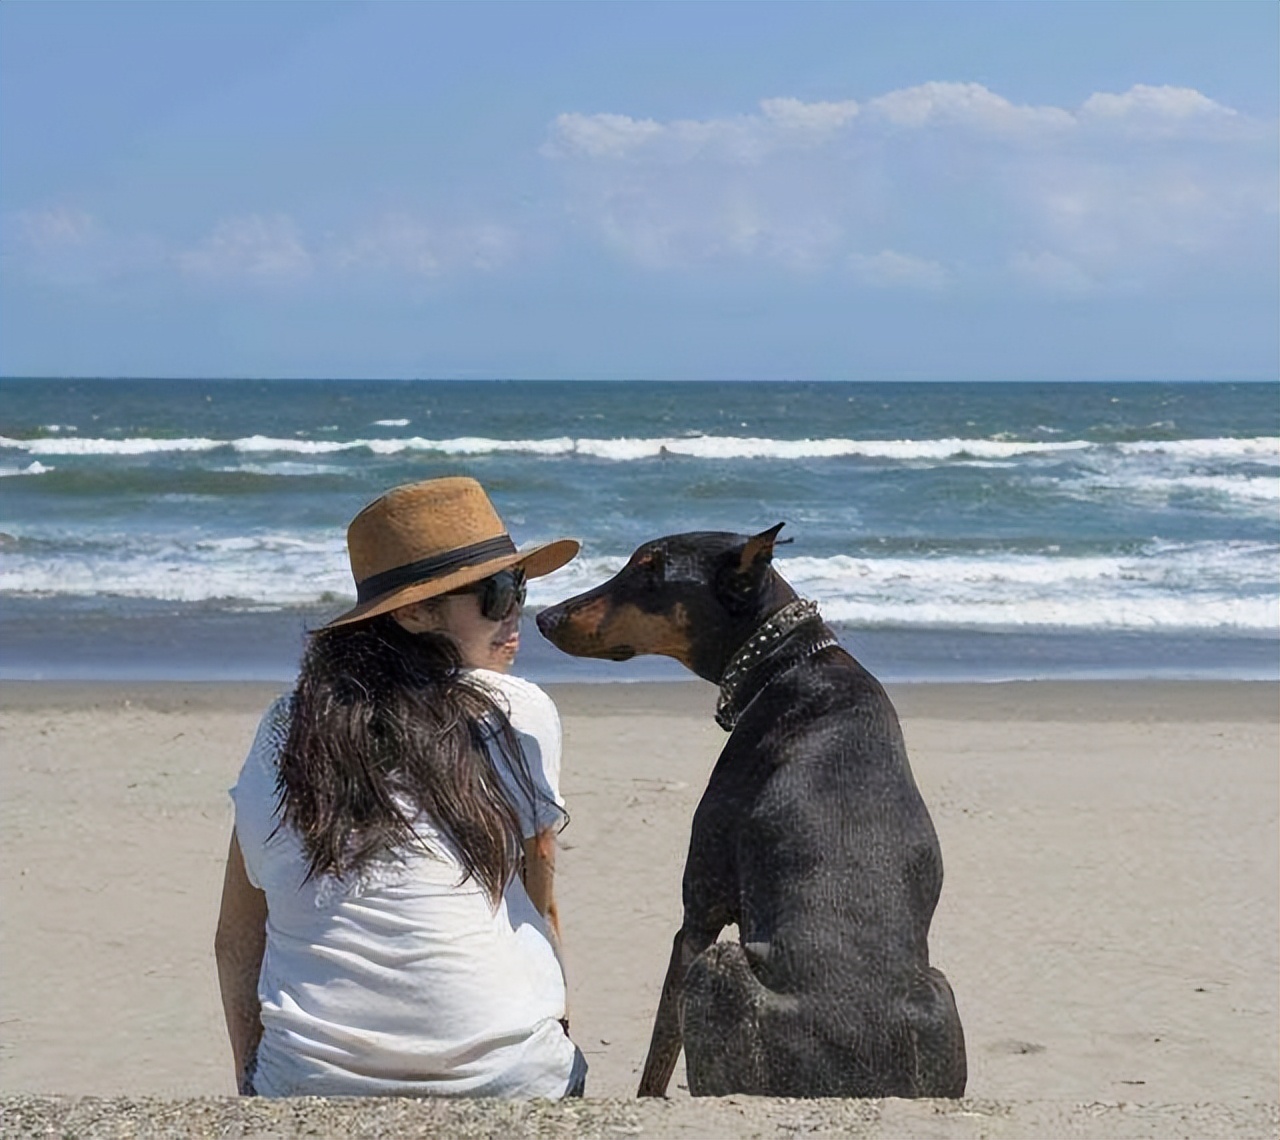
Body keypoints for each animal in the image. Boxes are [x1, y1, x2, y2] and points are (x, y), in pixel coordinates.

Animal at [535, 529, 962, 1100]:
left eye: (650, 570)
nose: (545, 616)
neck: (787, 662)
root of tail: (851, 1079)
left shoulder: (699, 914)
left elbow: (660, 1051)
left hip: (722, 965)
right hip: (939, 988)